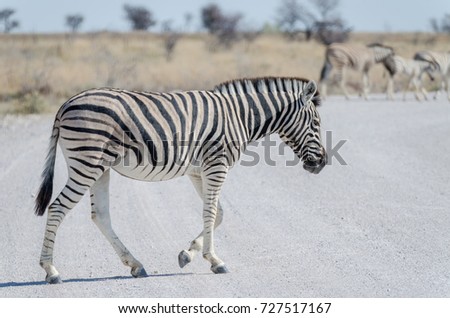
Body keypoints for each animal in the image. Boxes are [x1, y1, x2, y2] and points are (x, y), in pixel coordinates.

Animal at [33, 76, 326, 284]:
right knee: (57, 208)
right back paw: (51, 270)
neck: (239, 116)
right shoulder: (216, 165)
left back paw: (135, 265)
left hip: (100, 168)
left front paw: (188, 253)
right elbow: (211, 213)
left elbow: (218, 213)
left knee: (100, 216)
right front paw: (215, 260)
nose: (321, 164)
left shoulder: (198, 171)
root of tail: (66, 104)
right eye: (316, 123)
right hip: (87, 162)